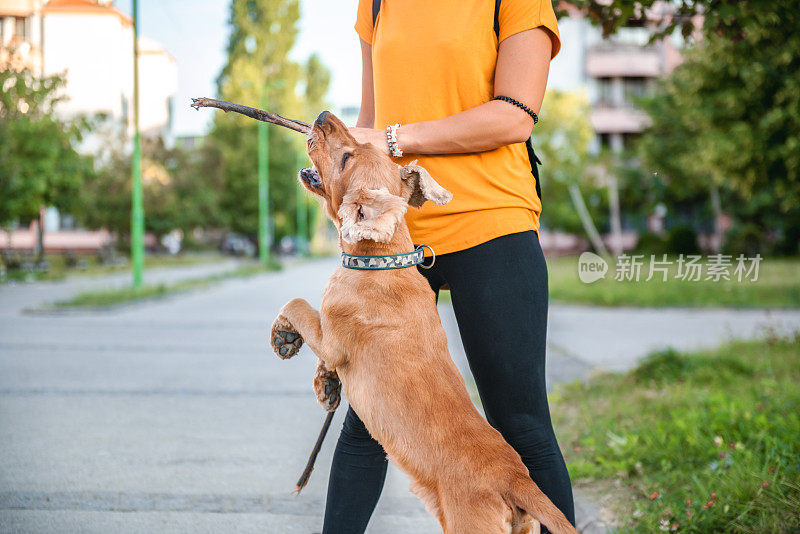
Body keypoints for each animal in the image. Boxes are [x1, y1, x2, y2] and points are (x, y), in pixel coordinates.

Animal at [270, 110, 576, 534]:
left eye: (347, 158)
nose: (322, 116)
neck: (381, 259)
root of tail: (516, 479)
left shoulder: (331, 333)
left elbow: (299, 304)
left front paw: (282, 335)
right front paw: (326, 384)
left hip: (470, 525)